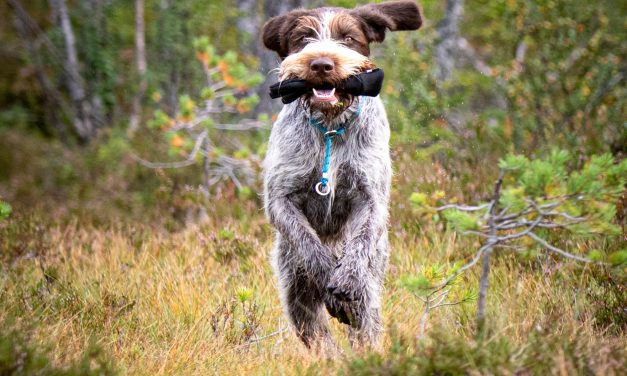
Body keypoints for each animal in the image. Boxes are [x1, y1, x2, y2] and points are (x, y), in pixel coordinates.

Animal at [260, 0, 422, 350]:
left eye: (347, 38)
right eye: (304, 38)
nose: (321, 64)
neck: (331, 126)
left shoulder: (370, 197)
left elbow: (359, 244)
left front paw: (346, 281)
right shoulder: (280, 199)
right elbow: (310, 246)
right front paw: (329, 277)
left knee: (365, 326)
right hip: (295, 292)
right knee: (319, 336)